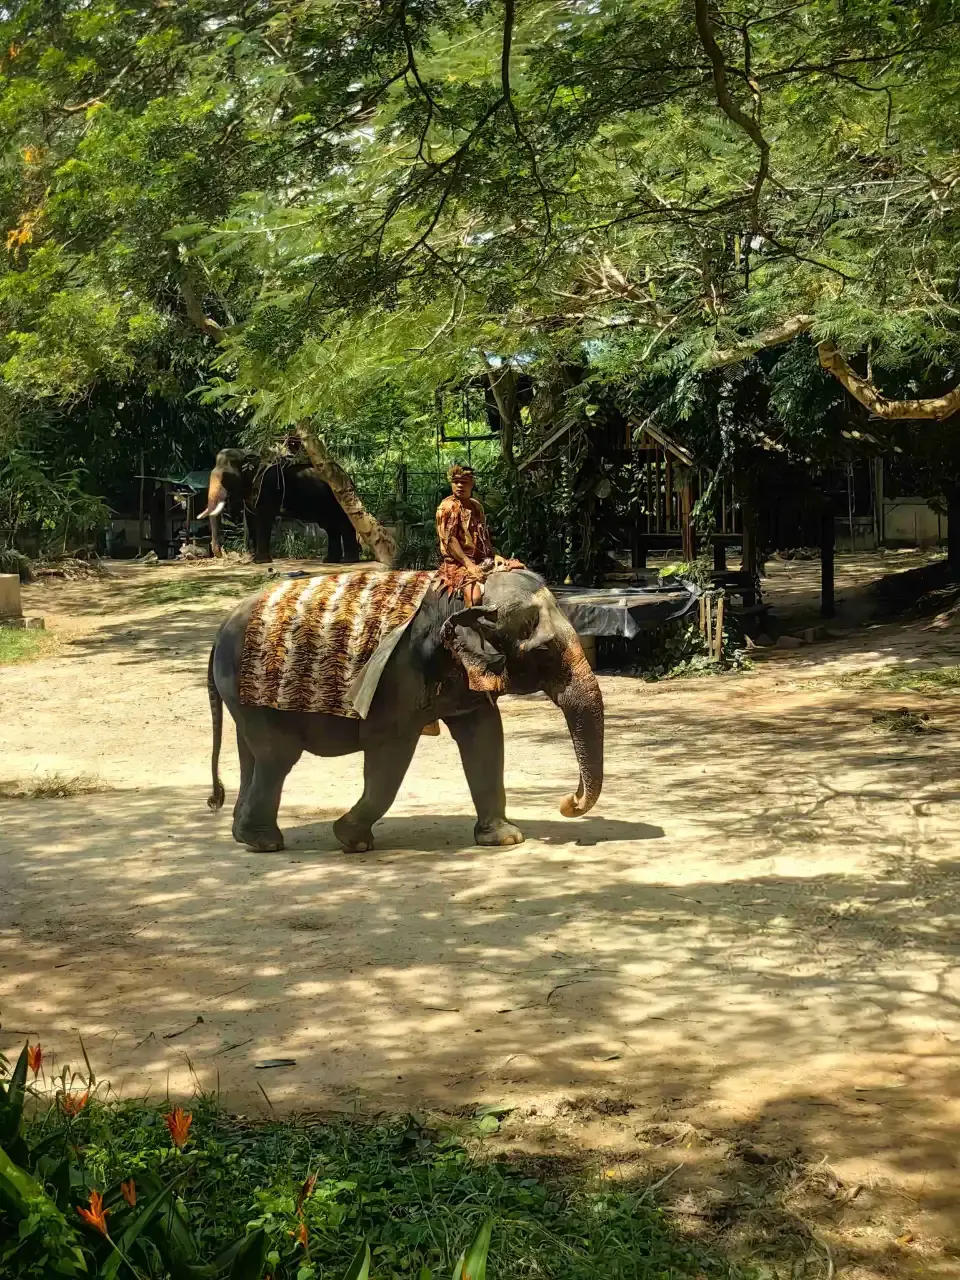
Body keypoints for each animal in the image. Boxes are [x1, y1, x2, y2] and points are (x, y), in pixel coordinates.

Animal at [199, 448, 361, 564]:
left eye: (227, 478)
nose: (221, 553)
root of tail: (349, 477)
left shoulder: (269, 486)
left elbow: (264, 518)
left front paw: (260, 561)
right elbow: (252, 518)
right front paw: (252, 559)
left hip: (338, 500)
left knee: (343, 523)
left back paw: (348, 560)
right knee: (330, 527)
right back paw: (329, 560)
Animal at [206, 568, 604, 853]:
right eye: (544, 651)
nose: (567, 803)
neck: (463, 596)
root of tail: (219, 630)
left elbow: (485, 735)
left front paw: (505, 839)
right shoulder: (398, 675)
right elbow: (391, 749)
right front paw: (352, 840)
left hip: (242, 698)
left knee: (251, 755)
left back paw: (245, 836)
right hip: (254, 693)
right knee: (277, 757)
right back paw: (265, 843)